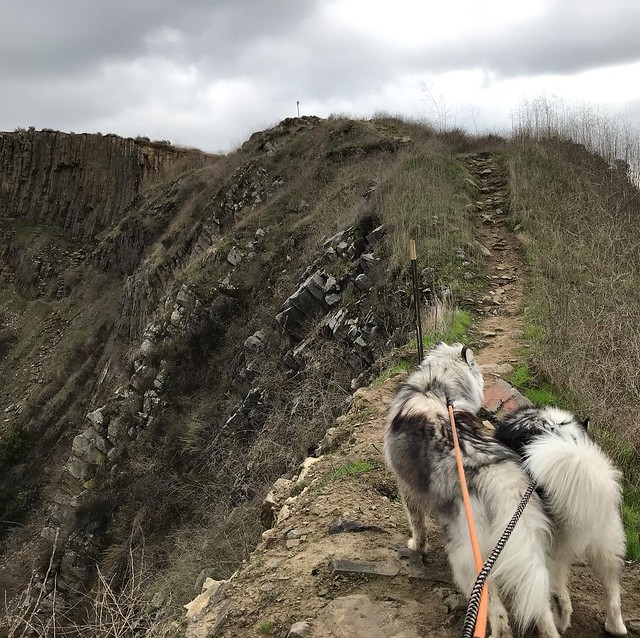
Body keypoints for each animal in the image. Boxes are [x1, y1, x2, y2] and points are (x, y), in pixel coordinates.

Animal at [384, 344, 560, 638]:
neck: (438, 385)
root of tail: (493, 473)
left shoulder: (406, 487)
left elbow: (416, 525)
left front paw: (416, 546)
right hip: (530, 549)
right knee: (539, 605)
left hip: (467, 556)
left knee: (497, 612)